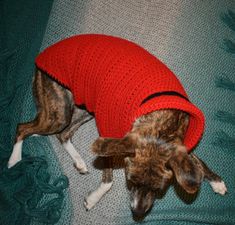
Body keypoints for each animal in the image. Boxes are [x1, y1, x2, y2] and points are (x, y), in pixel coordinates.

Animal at [7, 34, 228, 219]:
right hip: (59, 113)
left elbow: (198, 161)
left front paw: (216, 181)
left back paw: (78, 161)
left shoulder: (180, 145)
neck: (162, 126)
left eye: (159, 189)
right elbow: (108, 180)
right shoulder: (110, 138)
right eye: (130, 182)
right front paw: (94, 198)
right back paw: (14, 160)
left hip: (83, 108)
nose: (137, 213)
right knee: (22, 128)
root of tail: (43, 56)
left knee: (63, 135)